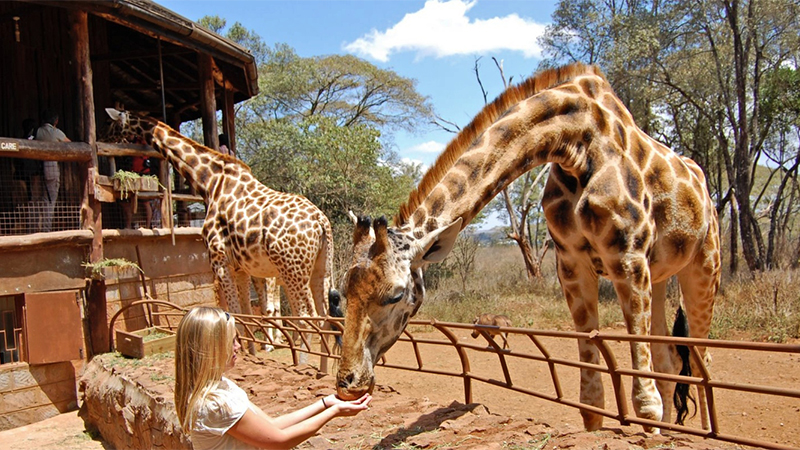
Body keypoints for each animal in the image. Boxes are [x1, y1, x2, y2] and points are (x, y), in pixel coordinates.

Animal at [104, 108, 334, 332]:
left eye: (113, 124)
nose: (106, 139)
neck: (210, 182)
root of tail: (320, 221)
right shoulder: (241, 267)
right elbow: (248, 318)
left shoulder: (218, 260)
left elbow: (236, 319)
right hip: (320, 268)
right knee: (325, 319)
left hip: (292, 270)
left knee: (307, 321)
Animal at [334, 64, 720, 432]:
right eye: (343, 292)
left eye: (397, 295)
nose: (348, 383)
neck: (576, 143)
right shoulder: (572, 265)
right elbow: (591, 398)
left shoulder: (627, 257)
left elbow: (646, 400)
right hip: (660, 275)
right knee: (669, 357)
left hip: (703, 267)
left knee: (703, 361)